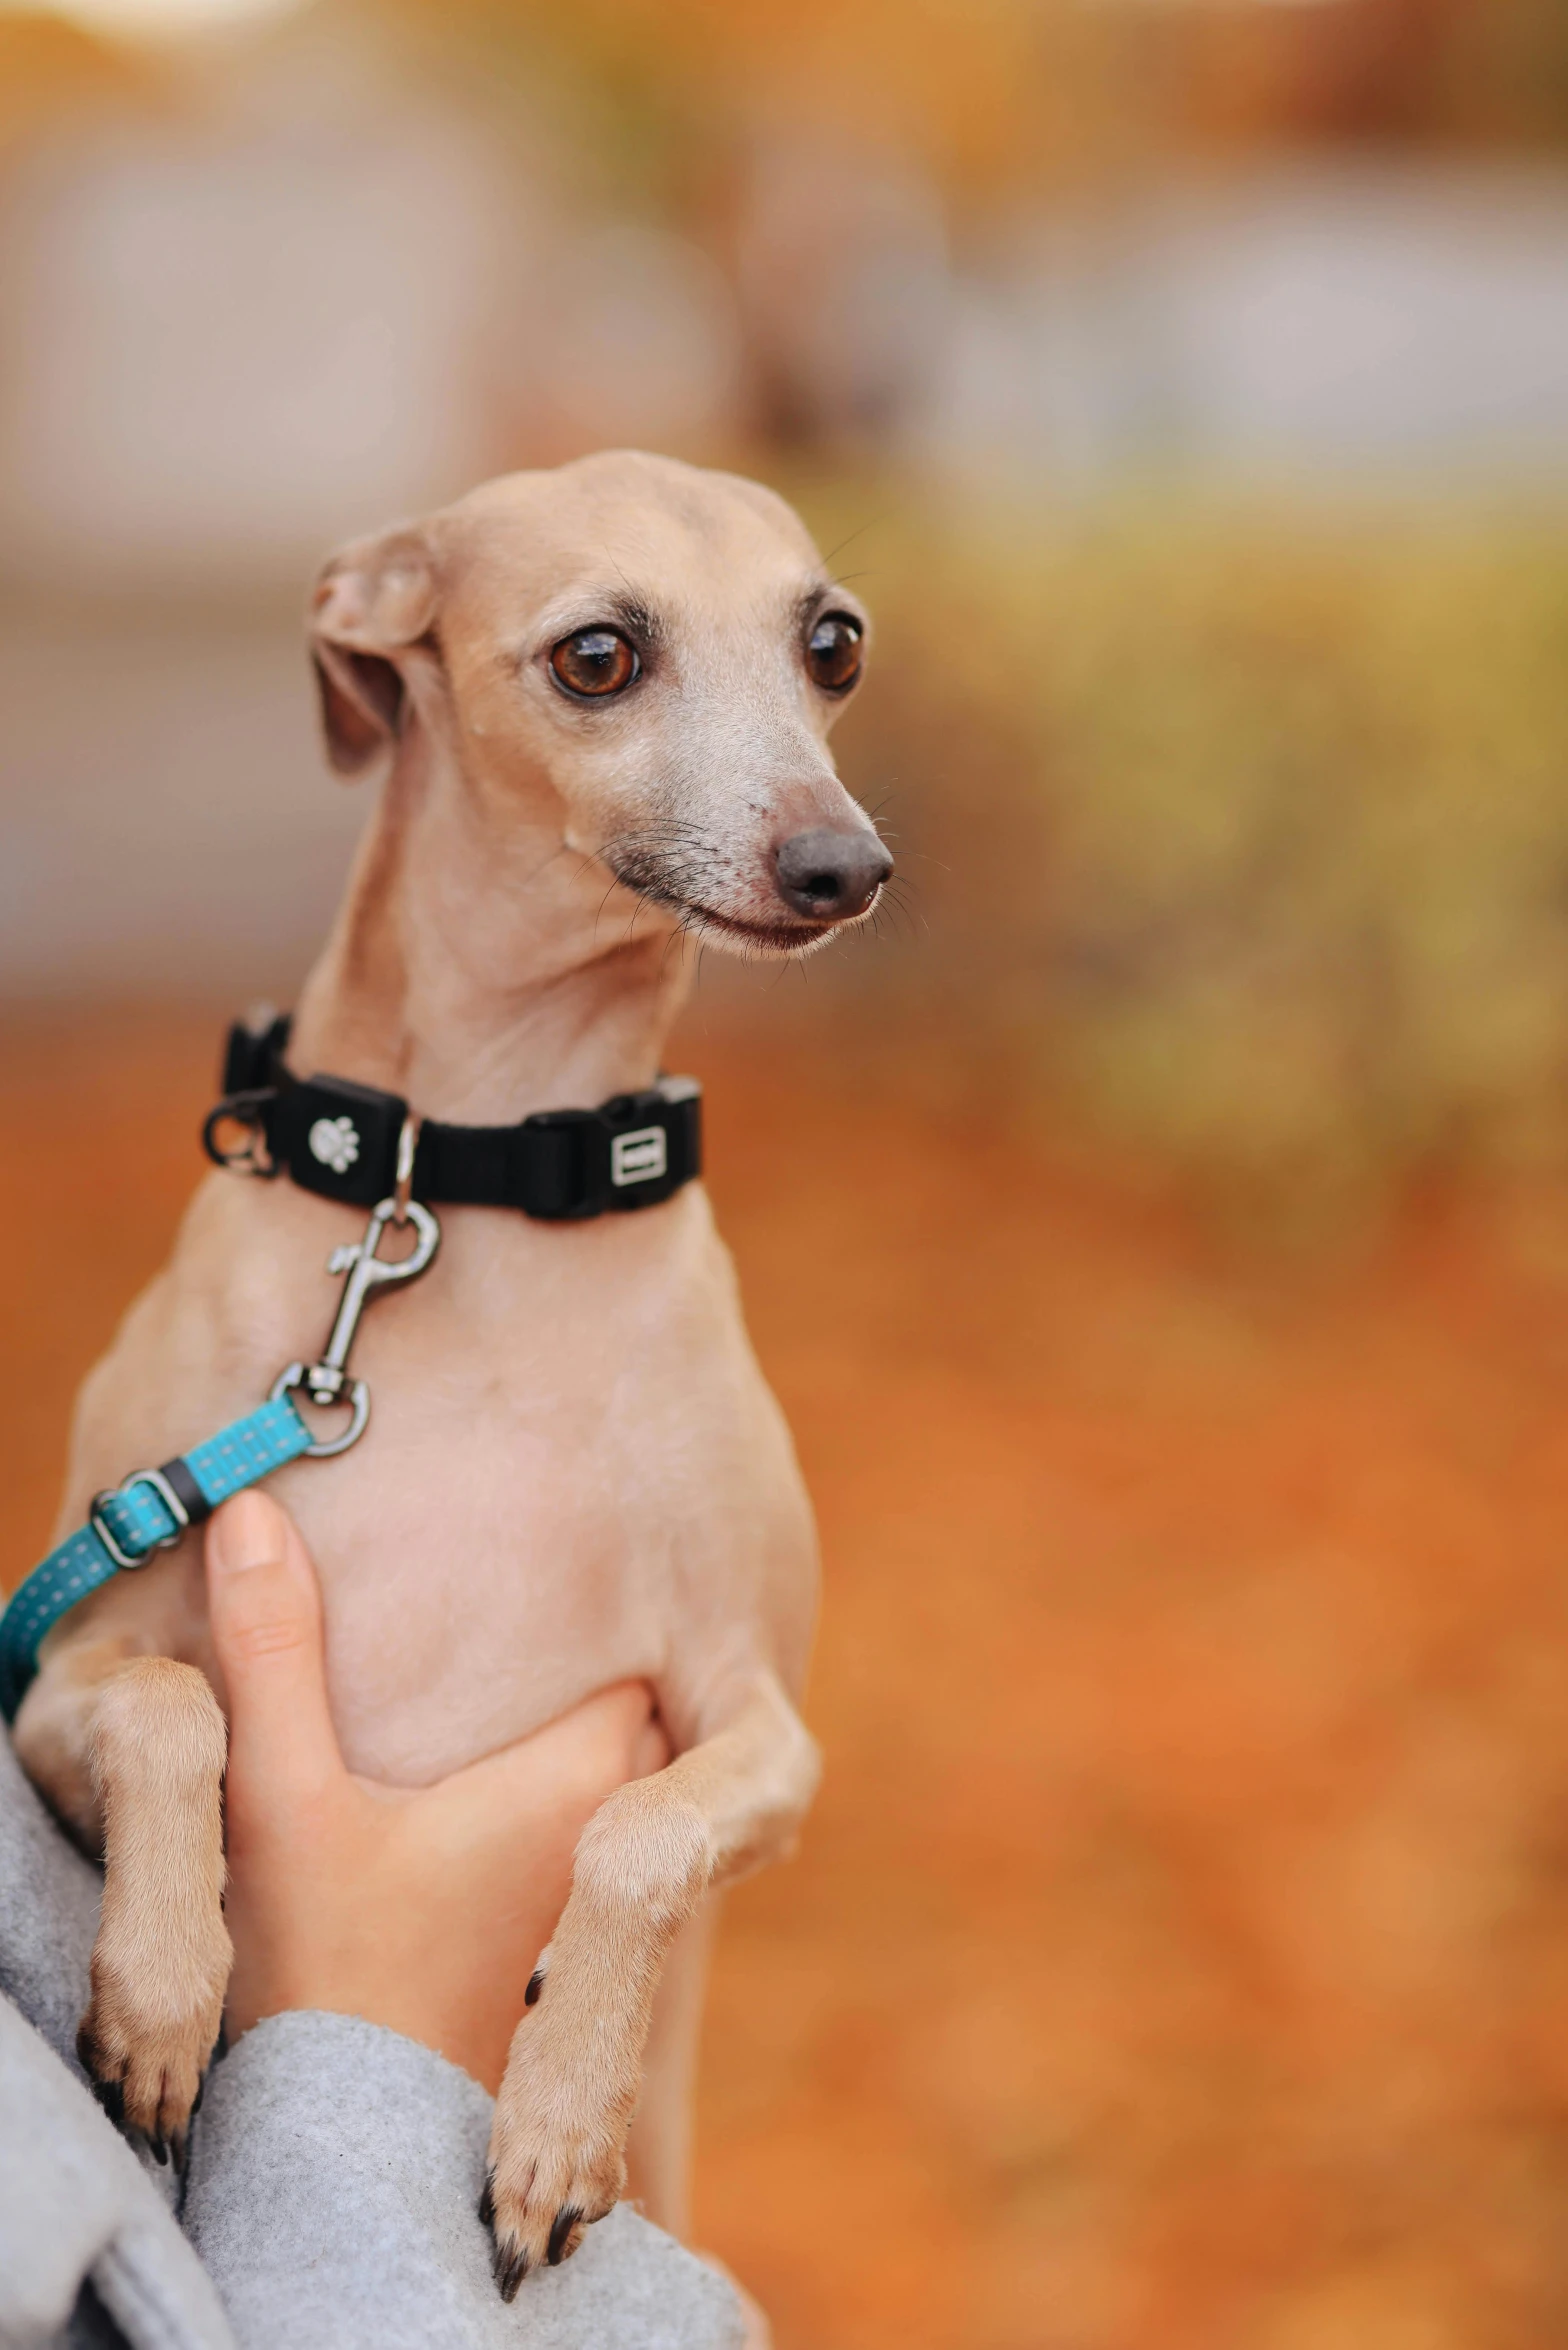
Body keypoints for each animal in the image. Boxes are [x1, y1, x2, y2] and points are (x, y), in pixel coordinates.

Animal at [12, 448, 888, 2303]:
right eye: (596, 655)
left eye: (833, 643)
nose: (844, 864)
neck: (468, 1178)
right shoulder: (58, 1668)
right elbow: (173, 1702)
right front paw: (163, 1987)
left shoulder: (758, 1725)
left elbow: (637, 1832)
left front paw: (558, 2111)